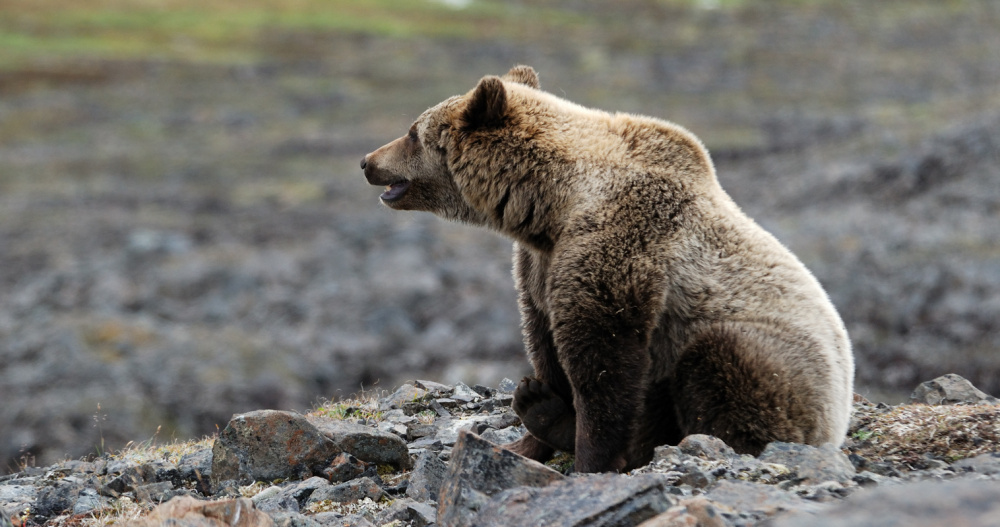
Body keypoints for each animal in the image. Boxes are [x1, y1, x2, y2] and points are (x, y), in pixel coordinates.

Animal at [361, 65, 854, 473]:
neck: (554, 204)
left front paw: (588, 458)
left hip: (778, 368)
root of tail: (839, 422)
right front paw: (527, 432)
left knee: (721, 370)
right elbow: (545, 340)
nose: (367, 161)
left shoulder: (620, 242)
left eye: (413, 132)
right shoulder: (540, 263)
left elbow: (602, 359)